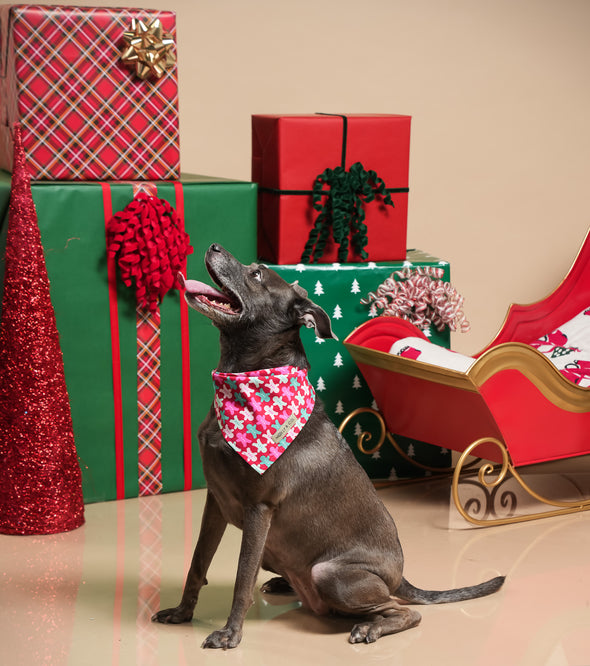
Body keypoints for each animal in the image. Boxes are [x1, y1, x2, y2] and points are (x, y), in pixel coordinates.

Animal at [151, 243, 504, 644]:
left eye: (257, 274)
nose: (213, 246)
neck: (244, 377)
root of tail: (399, 577)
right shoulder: (216, 501)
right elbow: (198, 563)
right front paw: (182, 612)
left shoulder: (259, 507)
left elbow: (242, 577)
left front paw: (230, 634)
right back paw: (284, 585)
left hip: (331, 574)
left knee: (404, 612)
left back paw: (370, 627)